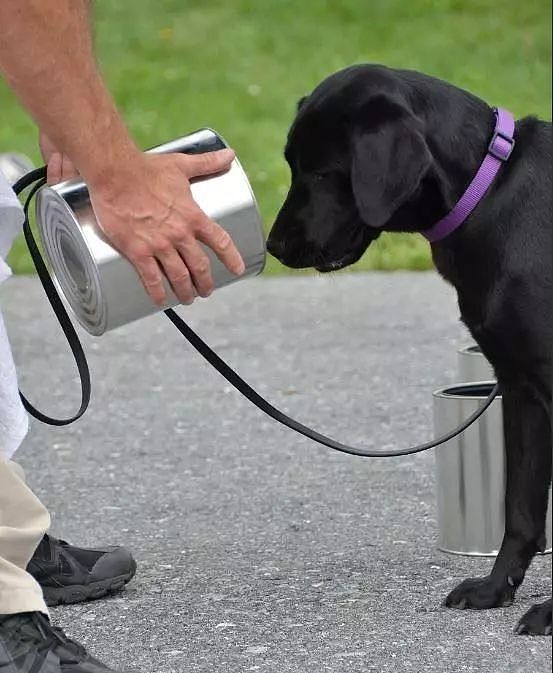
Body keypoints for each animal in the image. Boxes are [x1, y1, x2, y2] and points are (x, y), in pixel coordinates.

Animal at [266, 64, 548, 636]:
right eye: (291, 165)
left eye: (325, 173)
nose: (273, 246)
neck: (489, 190)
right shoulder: (521, 390)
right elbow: (519, 509)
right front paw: (495, 588)